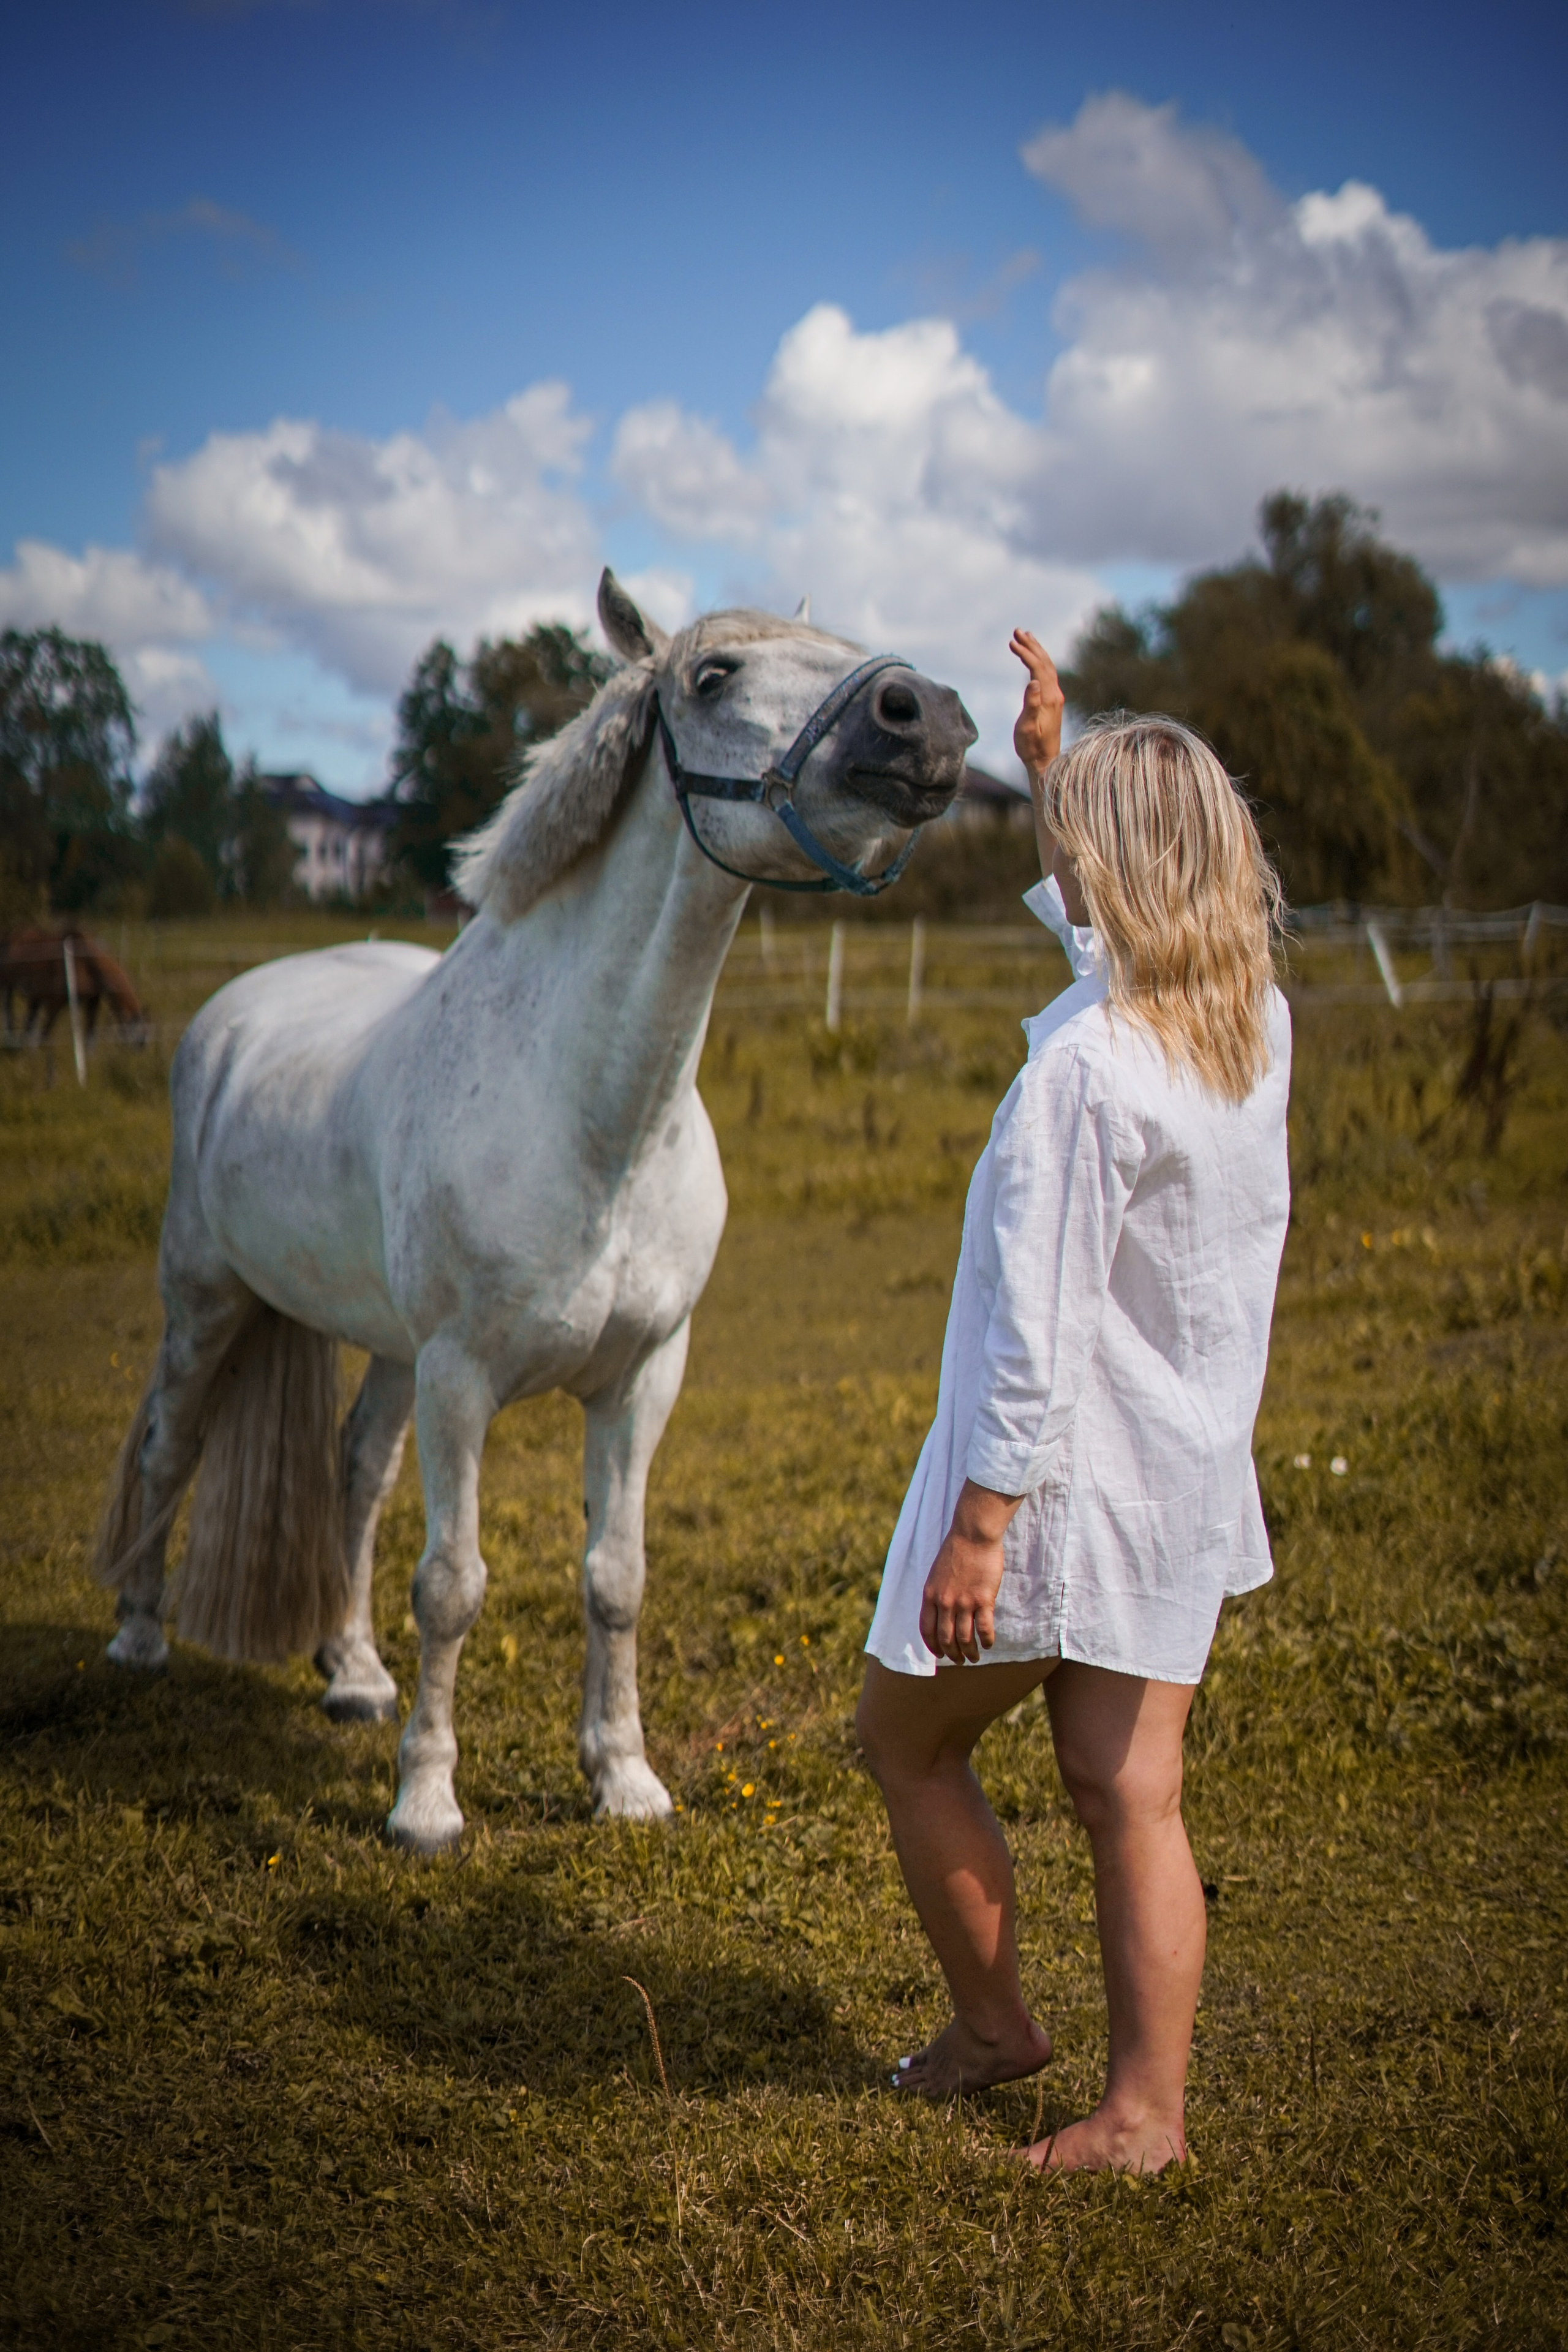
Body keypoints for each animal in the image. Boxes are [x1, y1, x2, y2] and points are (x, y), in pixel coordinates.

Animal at [96, 573, 975, 1852]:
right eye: (713, 677)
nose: (929, 717)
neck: (595, 1116)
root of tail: (233, 1012)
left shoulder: (640, 1378)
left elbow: (616, 1579)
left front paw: (624, 1778)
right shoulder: (465, 1377)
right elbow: (453, 1585)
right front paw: (426, 1804)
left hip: (390, 1351)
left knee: (355, 1472)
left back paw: (354, 1674)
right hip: (208, 1300)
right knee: (171, 1444)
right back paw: (140, 1637)